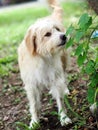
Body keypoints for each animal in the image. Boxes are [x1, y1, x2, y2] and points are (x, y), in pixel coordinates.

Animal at [17, 0, 71, 128]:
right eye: (47, 34)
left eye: (57, 29)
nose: (63, 36)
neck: (43, 57)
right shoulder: (31, 85)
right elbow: (34, 106)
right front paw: (34, 121)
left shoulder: (55, 79)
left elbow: (60, 101)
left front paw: (63, 118)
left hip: (63, 62)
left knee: (64, 76)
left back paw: (65, 89)